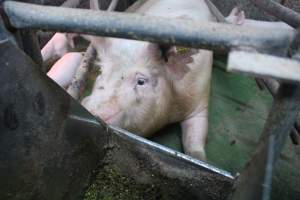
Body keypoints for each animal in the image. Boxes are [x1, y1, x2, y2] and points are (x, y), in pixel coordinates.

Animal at [81, 0, 214, 160]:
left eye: (141, 81)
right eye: (101, 71)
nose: (91, 110)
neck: (170, 112)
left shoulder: (200, 97)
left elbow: (195, 138)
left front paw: (198, 158)